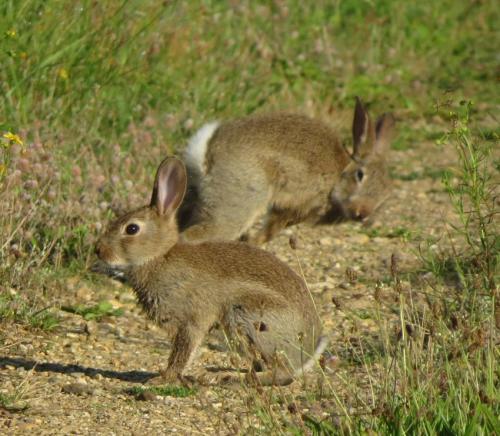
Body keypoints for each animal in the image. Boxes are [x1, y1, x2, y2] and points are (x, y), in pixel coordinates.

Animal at [94, 156, 328, 384]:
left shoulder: (193, 319)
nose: (99, 250)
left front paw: (162, 379)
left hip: (251, 319)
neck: (160, 256)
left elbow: (183, 350)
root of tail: (309, 351)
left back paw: (229, 377)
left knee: (280, 373)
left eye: (132, 228)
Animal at [179, 96, 394, 244]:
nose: (362, 213)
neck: (340, 174)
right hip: (241, 200)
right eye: (360, 175)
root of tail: (207, 151)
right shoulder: (296, 207)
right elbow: (270, 232)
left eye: (386, 195)